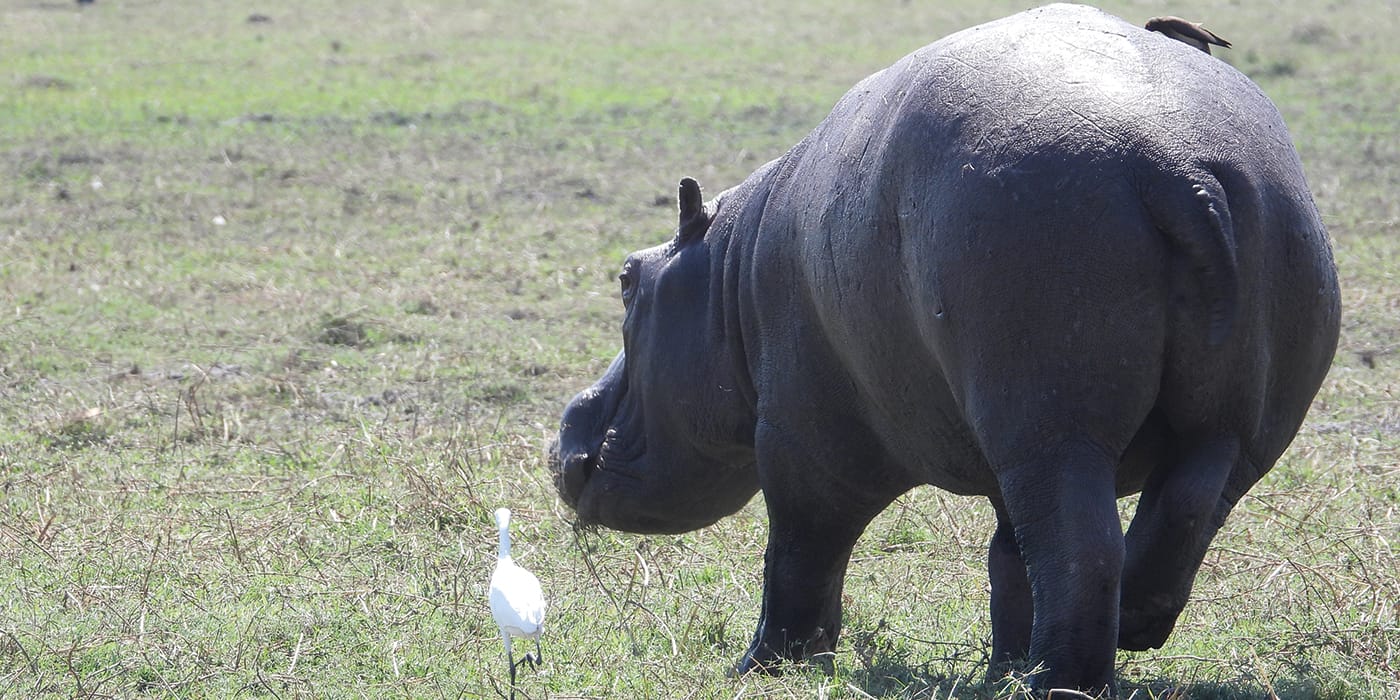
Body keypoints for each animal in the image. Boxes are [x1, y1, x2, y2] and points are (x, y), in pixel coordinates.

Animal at [551, 4, 1339, 694]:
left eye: (626, 277)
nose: (566, 429)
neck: (725, 274)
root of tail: (1182, 169)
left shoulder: (804, 440)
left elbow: (800, 548)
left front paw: (763, 668)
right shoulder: (999, 458)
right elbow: (1008, 558)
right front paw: (1001, 667)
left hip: (1056, 427)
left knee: (1083, 548)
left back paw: (1060, 682)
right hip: (1229, 421)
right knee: (1183, 508)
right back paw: (1115, 635)